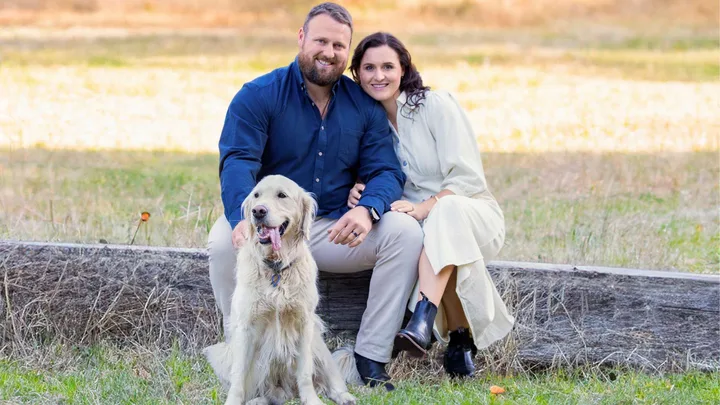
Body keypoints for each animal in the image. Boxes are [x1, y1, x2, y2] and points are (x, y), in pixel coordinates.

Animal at [204, 174, 356, 404]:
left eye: (282, 195)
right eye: (256, 195)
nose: (258, 211)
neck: (276, 266)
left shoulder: (304, 324)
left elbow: (305, 373)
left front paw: (311, 399)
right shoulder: (246, 327)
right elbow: (239, 376)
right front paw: (233, 400)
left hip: (318, 344)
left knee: (332, 380)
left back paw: (344, 396)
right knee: (268, 393)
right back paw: (257, 400)